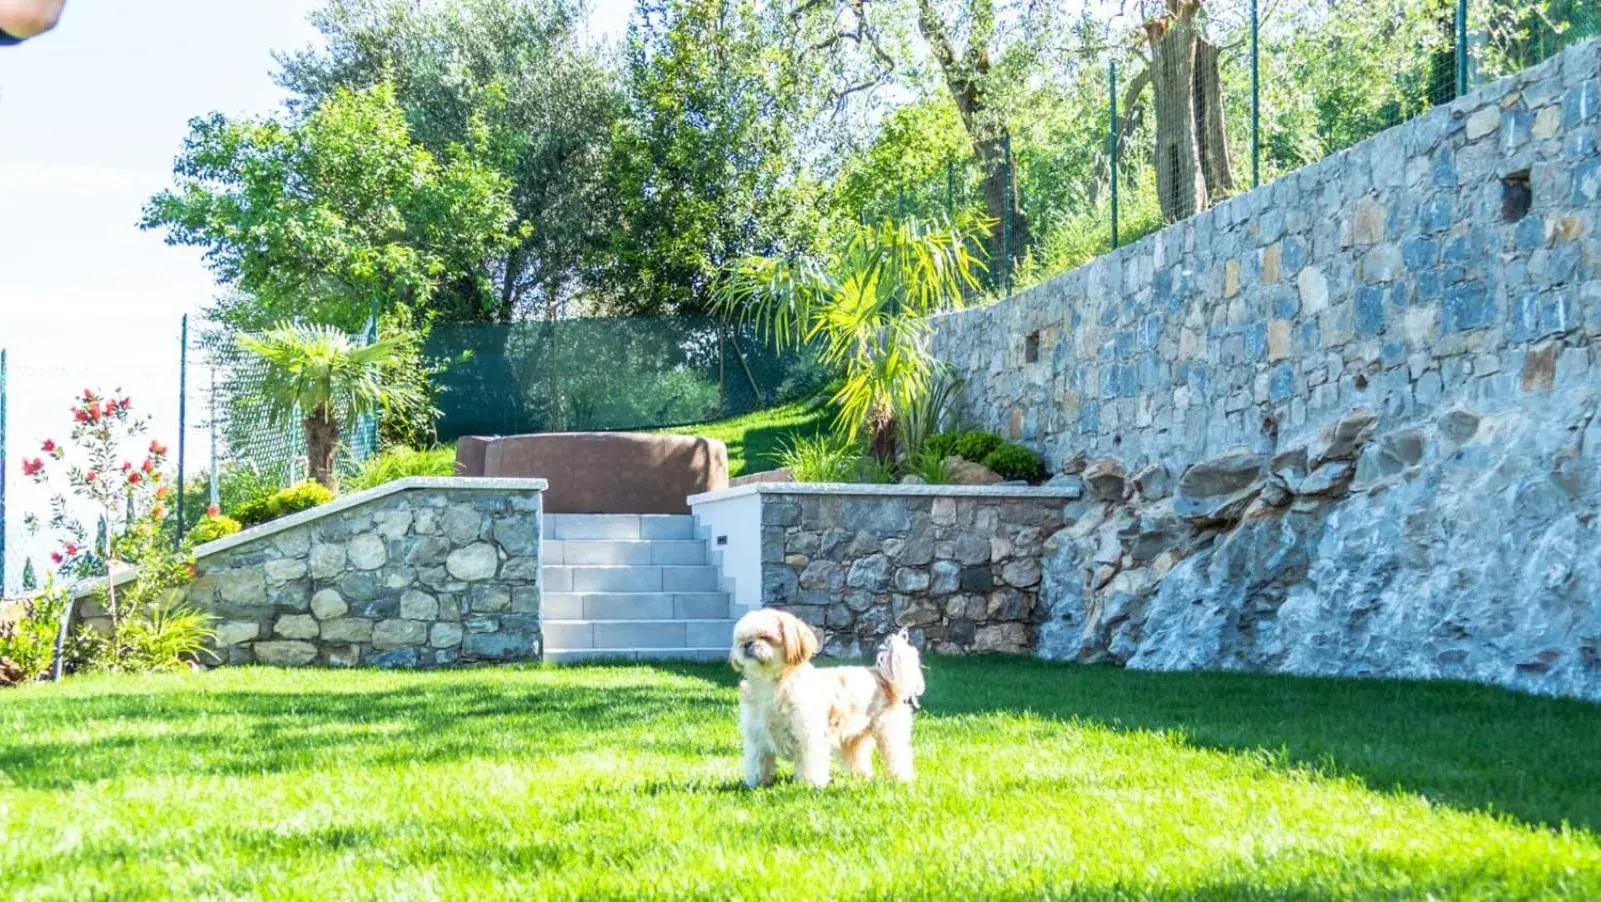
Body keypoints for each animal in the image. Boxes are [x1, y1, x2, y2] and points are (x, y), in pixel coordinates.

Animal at [730, 605, 928, 791]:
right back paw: (861, 777)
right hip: (852, 739)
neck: (771, 685)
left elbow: (810, 763)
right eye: (741, 639)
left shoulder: (809, 736)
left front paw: (810, 785)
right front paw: (756, 784)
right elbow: (758, 762)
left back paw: (901, 779)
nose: (747, 644)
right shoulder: (756, 736)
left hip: (889, 733)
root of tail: (880, 674)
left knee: (898, 756)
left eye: (765, 637)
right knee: (858, 758)